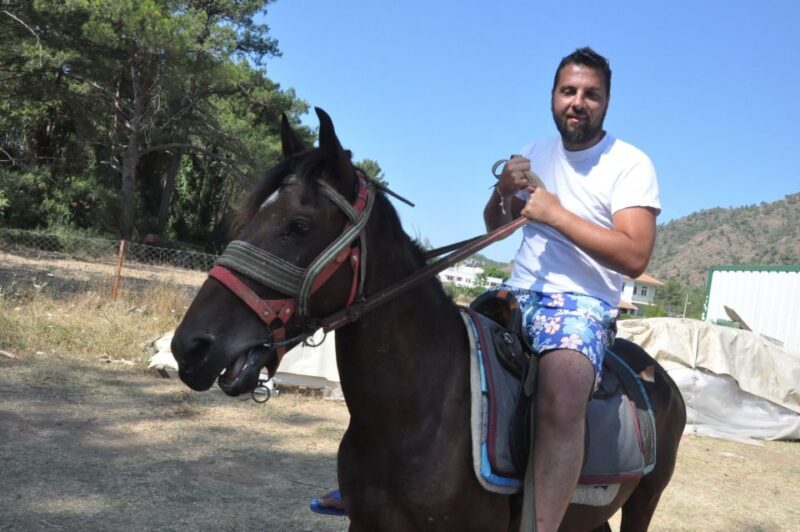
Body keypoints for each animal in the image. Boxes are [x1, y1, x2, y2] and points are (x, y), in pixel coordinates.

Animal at [170, 108, 686, 531]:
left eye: (297, 226)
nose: (190, 346)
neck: (417, 414)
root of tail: (657, 375)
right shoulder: (367, 525)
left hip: (645, 499)